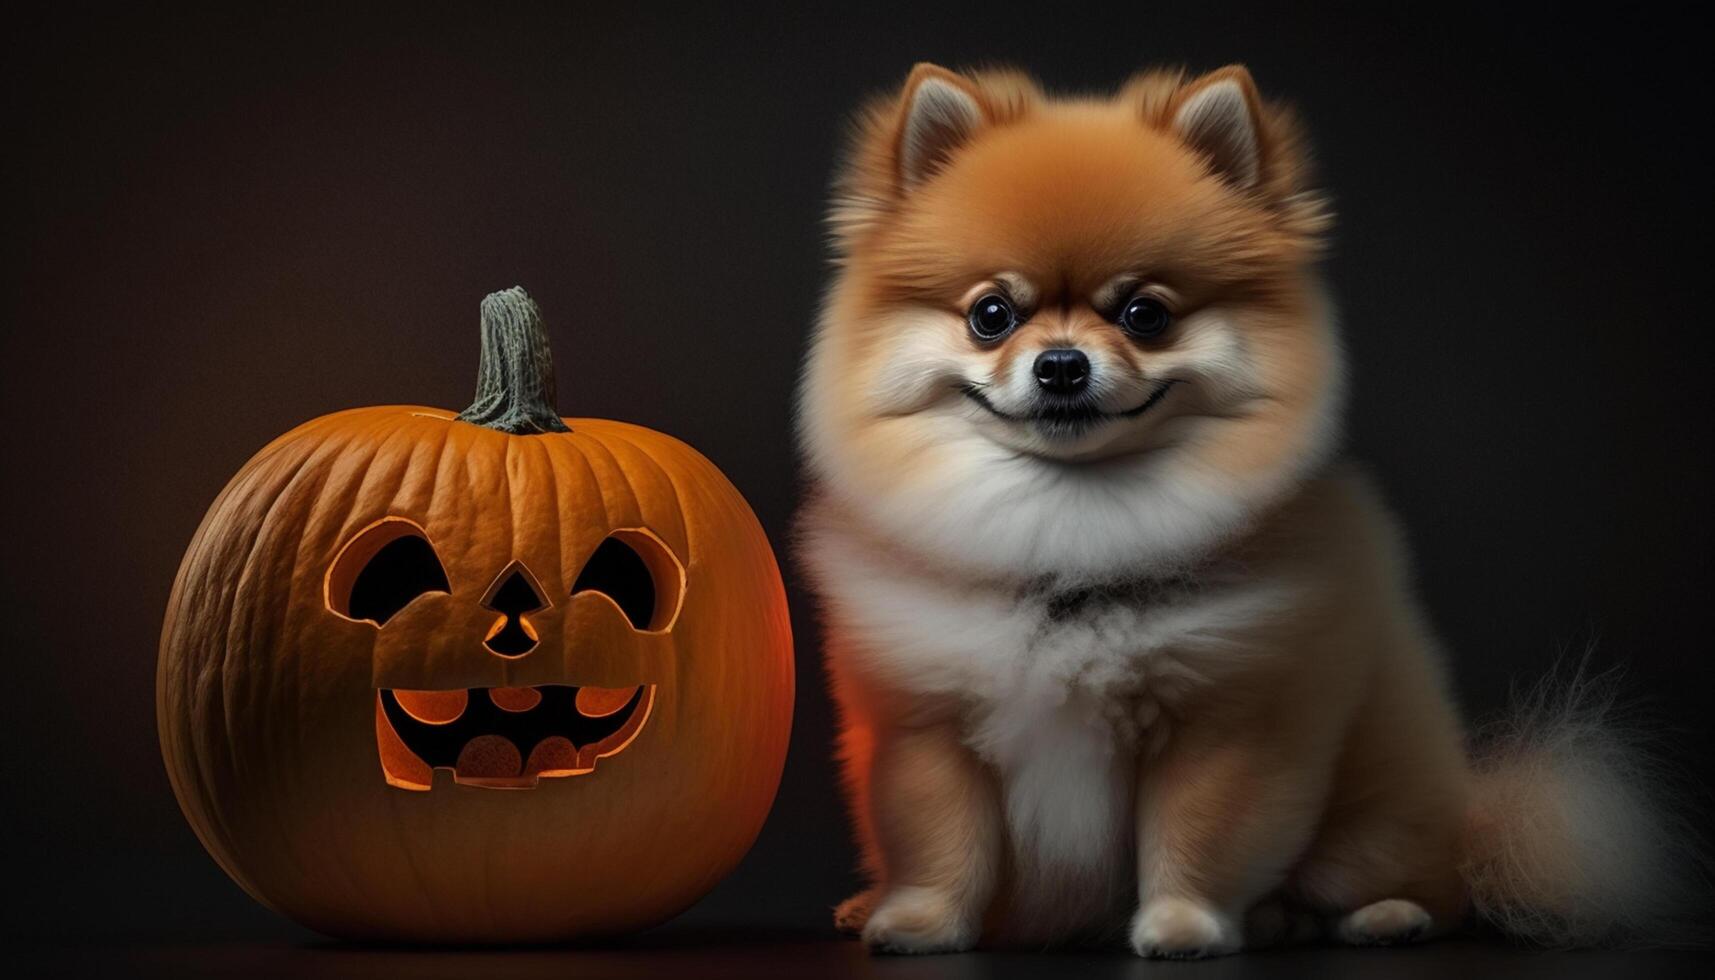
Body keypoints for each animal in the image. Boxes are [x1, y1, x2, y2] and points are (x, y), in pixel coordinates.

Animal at [792, 63, 1701, 961]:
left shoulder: (1223, 719)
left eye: (1145, 314)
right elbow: (941, 843)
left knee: (1435, 889)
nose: (1060, 364)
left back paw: (1375, 916)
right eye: (991, 315)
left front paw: (1183, 925)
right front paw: (921, 922)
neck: (1068, 532)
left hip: (1369, 826)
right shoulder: (927, 724)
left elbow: (1195, 834)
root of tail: (1470, 811)